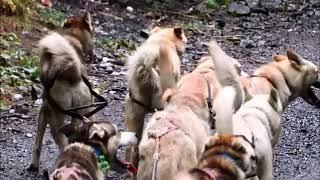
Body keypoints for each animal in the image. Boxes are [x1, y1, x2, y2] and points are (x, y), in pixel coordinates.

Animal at [28, 12, 95, 170]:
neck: (73, 38)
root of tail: (72, 73)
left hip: (57, 122)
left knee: (64, 145)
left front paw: (34, 164)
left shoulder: (44, 110)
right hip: (80, 113)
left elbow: (38, 141)